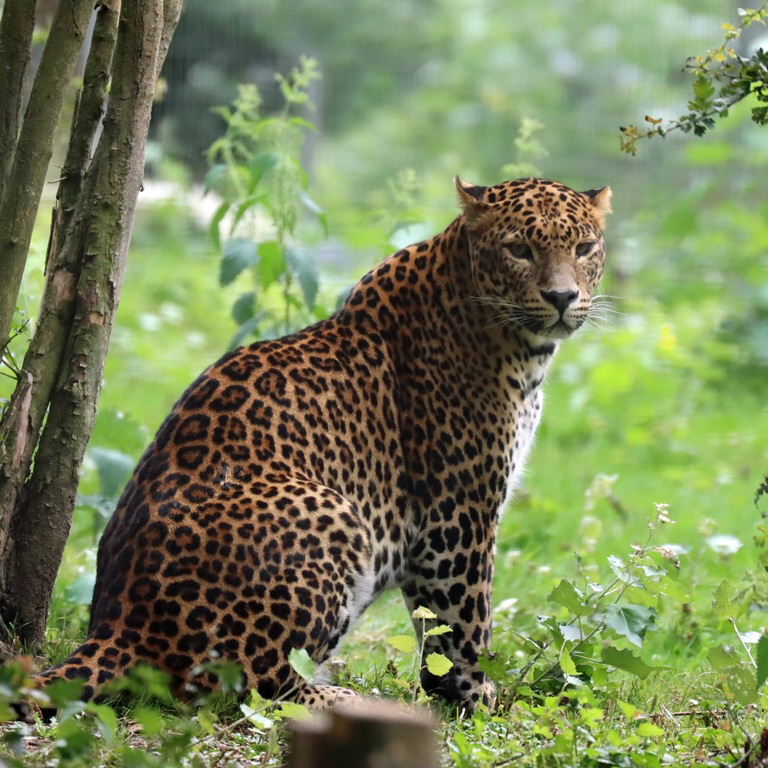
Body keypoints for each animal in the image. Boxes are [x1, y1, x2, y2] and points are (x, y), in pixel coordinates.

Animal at [30, 176, 611, 711]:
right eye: (519, 249)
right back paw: (340, 697)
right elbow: (463, 621)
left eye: (584, 248)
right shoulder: (458, 512)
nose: (563, 297)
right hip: (328, 508)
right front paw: (480, 697)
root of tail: (117, 628)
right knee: (243, 684)